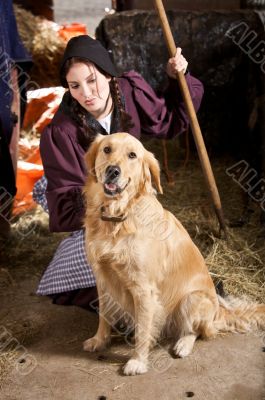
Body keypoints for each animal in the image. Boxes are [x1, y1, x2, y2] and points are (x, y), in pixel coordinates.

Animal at [82, 131, 264, 376]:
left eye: (132, 155)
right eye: (107, 149)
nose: (113, 170)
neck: (118, 217)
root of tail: (219, 311)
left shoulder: (144, 289)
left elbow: (143, 330)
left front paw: (138, 361)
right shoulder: (102, 279)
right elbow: (104, 315)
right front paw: (99, 340)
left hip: (192, 299)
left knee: (196, 331)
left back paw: (182, 345)